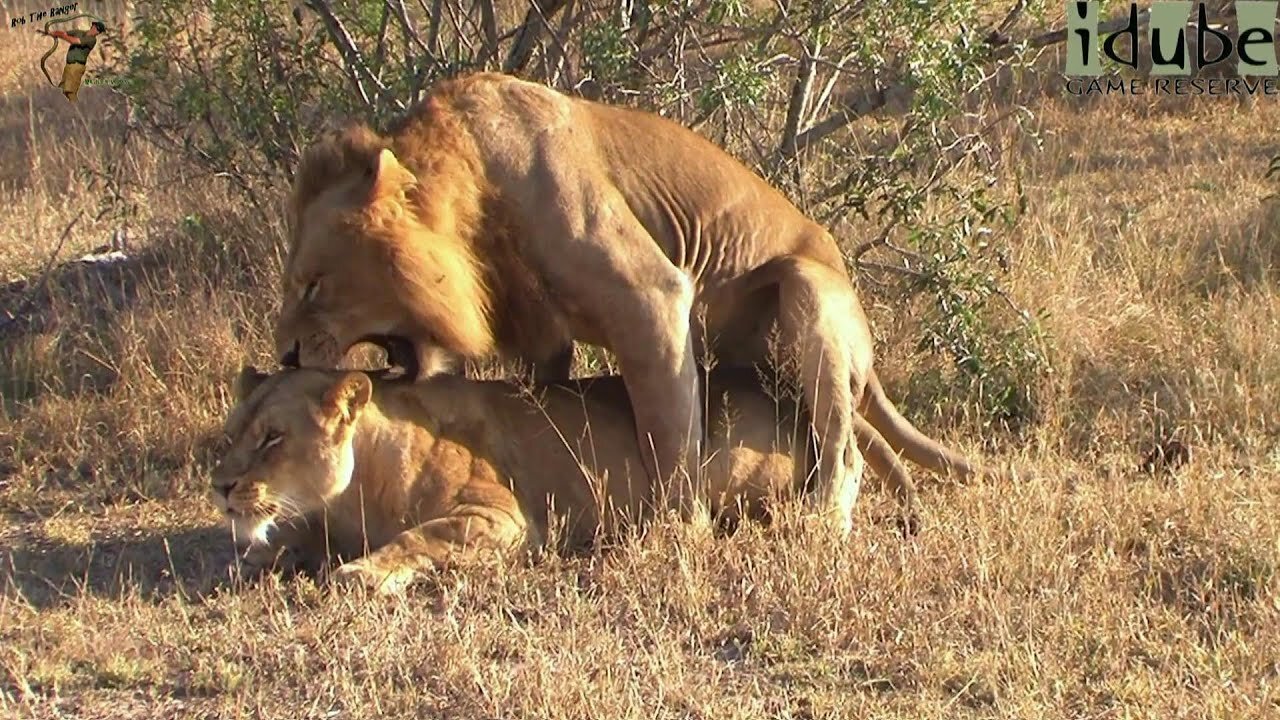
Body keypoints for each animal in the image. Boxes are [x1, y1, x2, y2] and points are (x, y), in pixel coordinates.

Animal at [209, 366, 916, 591]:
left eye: (272, 437)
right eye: (232, 433)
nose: (220, 485)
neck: (354, 491)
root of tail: (786, 393)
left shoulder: (503, 519)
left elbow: (417, 538)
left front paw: (363, 572)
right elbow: (292, 537)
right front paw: (260, 556)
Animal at [277, 71, 977, 532]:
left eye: (312, 285)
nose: (284, 356)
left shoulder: (652, 296)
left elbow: (669, 433)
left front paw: (682, 532)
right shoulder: (543, 337)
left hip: (806, 286)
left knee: (844, 448)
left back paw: (821, 524)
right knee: (859, 432)